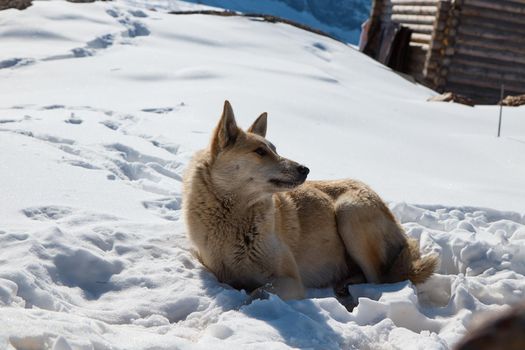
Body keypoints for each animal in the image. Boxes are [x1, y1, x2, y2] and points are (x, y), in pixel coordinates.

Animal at [182, 100, 436, 300]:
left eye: (275, 149)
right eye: (260, 152)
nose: (305, 169)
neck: (235, 216)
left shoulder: (290, 281)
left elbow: (258, 292)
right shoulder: (217, 270)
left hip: (349, 212)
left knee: (380, 279)